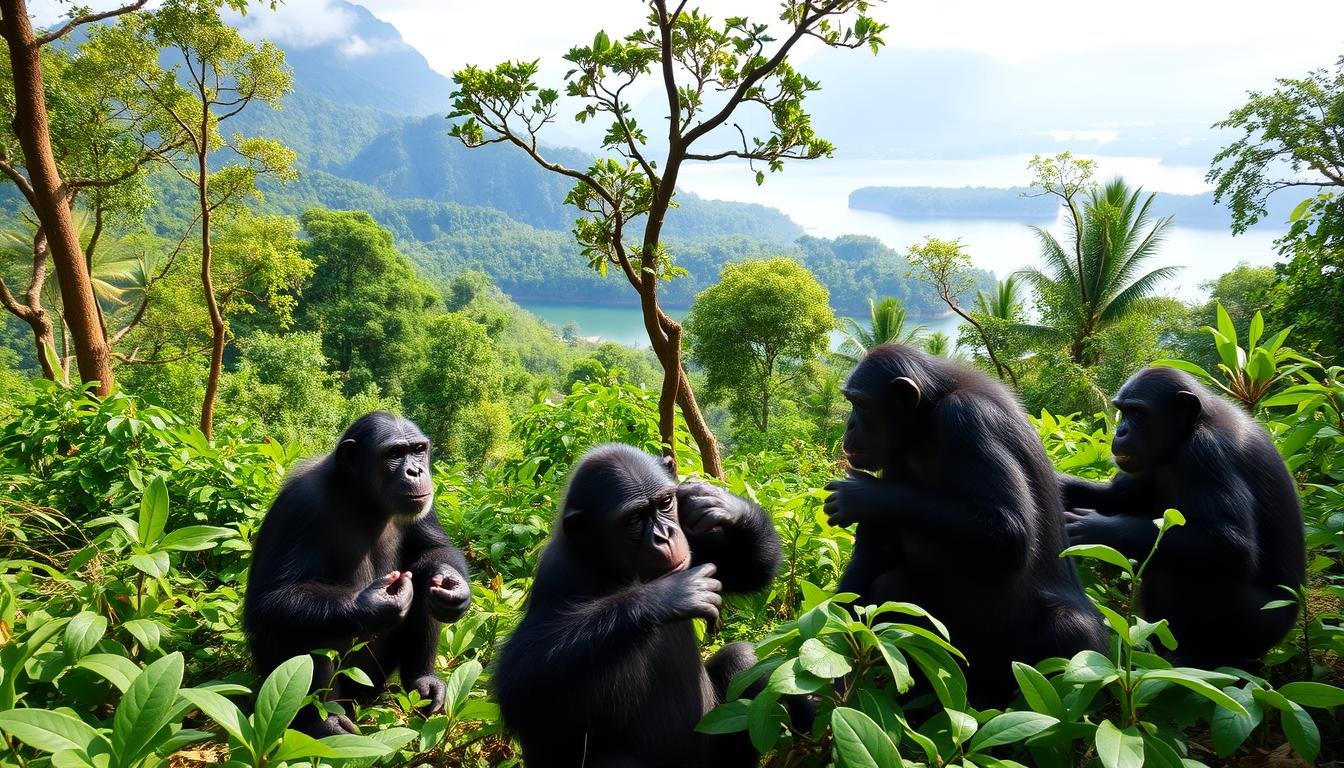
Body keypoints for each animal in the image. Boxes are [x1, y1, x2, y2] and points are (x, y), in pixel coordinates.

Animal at [241, 411, 473, 737]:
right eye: (394, 454)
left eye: (418, 450)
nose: (415, 471)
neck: (361, 497)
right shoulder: (298, 504)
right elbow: (269, 599)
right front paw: (373, 604)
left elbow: (434, 548)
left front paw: (452, 587)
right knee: (305, 622)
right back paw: (324, 722)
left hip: (376, 680)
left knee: (423, 584)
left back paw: (423, 682)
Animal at [491, 443, 784, 768]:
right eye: (633, 519)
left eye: (665, 502)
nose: (664, 536)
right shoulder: (556, 578)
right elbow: (520, 681)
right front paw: (667, 595)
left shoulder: (694, 543)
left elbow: (746, 570)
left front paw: (718, 502)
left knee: (743, 659)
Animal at [827, 344, 1102, 704]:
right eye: (850, 401)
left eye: (861, 404)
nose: (848, 425)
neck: (928, 417)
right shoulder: (895, 460)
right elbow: (875, 555)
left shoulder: (968, 420)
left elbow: (1009, 530)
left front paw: (862, 495)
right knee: (893, 586)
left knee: (1072, 630)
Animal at [1059, 365, 1300, 667]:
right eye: (1122, 411)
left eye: (1138, 413)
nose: (1121, 431)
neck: (1186, 433)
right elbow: (1121, 498)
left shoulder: (1208, 453)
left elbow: (1230, 544)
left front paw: (1091, 528)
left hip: (1260, 624)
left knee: (1188, 570)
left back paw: (1195, 657)